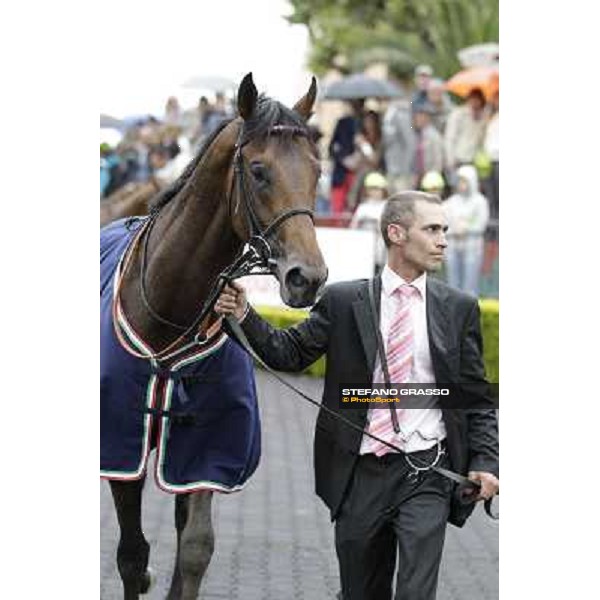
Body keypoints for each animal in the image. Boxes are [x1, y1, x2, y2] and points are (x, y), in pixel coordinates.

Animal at [101, 72, 326, 596]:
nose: (307, 277)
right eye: (259, 171)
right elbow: (132, 555)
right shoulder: (120, 442)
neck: (169, 311)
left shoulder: (206, 447)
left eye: (317, 170)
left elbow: (195, 547)